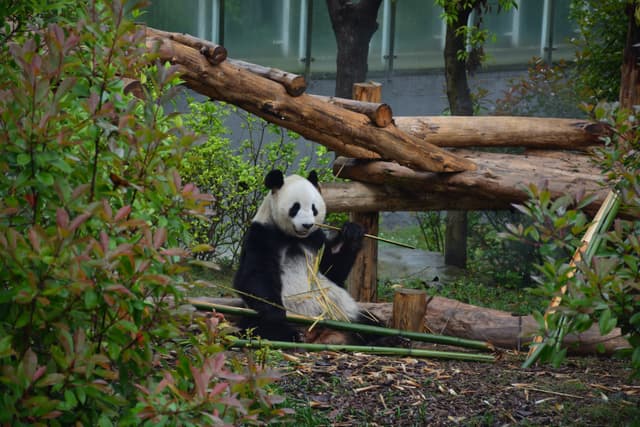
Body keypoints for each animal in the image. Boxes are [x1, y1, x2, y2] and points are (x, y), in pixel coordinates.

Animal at [233, 169, 368, 342]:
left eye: (314, 208)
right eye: (295, 208)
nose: (307, 225)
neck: (294, 237)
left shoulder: (315, 239)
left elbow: (333, 270)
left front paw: (352, 232)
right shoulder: (262, 234)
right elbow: (253, 276)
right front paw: (275, 313)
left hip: (344, 314)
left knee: (368, 323)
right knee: (261, 327)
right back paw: (291, 334)